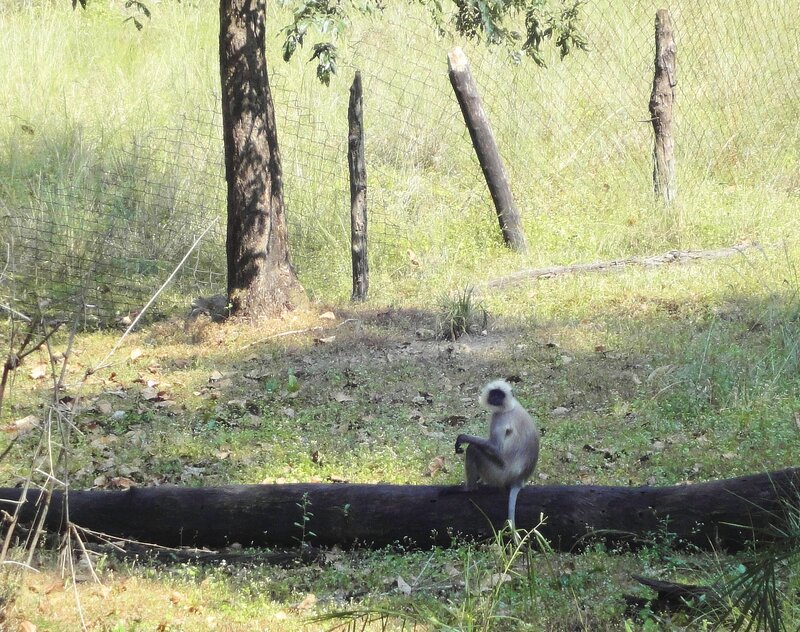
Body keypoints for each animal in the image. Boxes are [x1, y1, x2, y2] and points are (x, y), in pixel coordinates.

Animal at [454, 379, 540, 530]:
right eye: (494, 393)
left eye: (500, 395)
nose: (495, 398)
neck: (511, 406)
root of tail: (520, 480)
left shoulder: (499, 417)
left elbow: (495, 447)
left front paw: (463, 438)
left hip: (498, 475)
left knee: (473, 450)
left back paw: (469, 488)